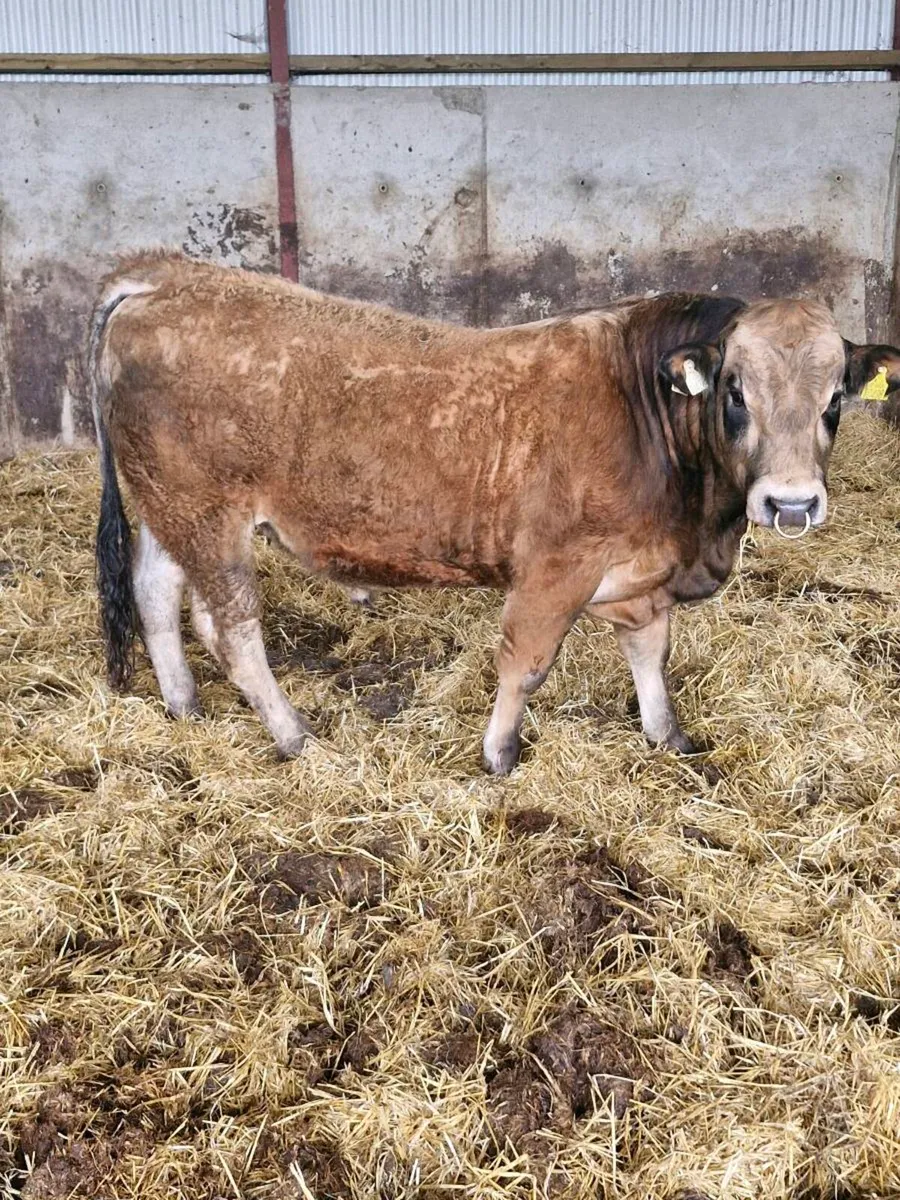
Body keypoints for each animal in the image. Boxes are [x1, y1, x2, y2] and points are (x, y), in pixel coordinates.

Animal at [89, 252, 900, 773]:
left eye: (835, 399)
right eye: (735, 392)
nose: (791, 502)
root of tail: (167, 276)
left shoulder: (641, 571)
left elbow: (650, 654)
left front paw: (667, 737)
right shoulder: (555, 568)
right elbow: (526, 665)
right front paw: (500, 754)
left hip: (169, 507)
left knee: (156, 594)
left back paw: (183, 704)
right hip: (208, 513)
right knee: (233, 629)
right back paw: (294, 736)